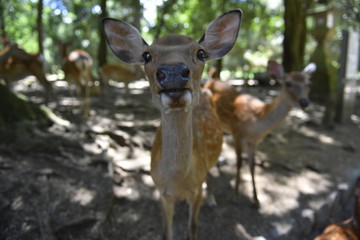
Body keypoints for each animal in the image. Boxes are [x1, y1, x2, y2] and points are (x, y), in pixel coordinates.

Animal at [101, 8, 242, 239]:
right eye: (147, 55)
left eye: (201, 53)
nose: (173, 72)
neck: (177, 181)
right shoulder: (161, 192)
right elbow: (166, 232)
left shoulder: (195, 191)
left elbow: (192, 227)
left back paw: (212, 199)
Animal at [205, 59, 316, 204]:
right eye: (288, 83)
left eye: (309, 84)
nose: (304, 102)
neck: (256, 122)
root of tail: (211, 78)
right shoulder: (236, 132)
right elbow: (239, 163)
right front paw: (235, 195)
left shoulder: (253, 142)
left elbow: (252, 166)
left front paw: (256, 199)